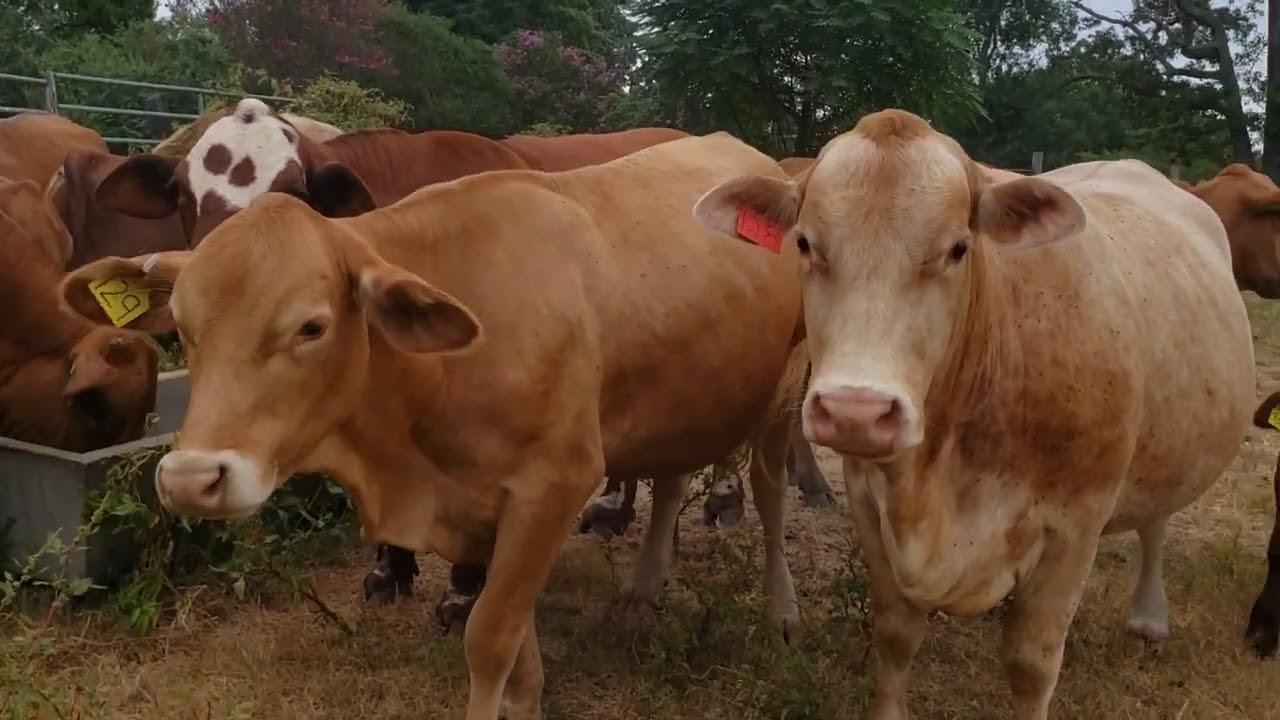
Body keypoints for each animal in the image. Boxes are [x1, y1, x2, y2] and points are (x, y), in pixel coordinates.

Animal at [60, 130, 808, 720]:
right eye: (183, 328)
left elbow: (490, 638)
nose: (192, 480)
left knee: (771, 496)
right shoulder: (485, 510)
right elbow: (517, 654)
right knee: (673, 477)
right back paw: (647, 587)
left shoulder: (555, 487)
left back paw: (782, 610)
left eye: (311, 327)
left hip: (783, 401)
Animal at [693, 108, 1255, 719]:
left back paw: (1150, 616)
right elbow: (895, 634)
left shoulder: (1075, 526)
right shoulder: (870, 503)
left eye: (959, 248)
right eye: (804, 242)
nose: (856, 412)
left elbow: (1031, 662)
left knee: (1156, 522)